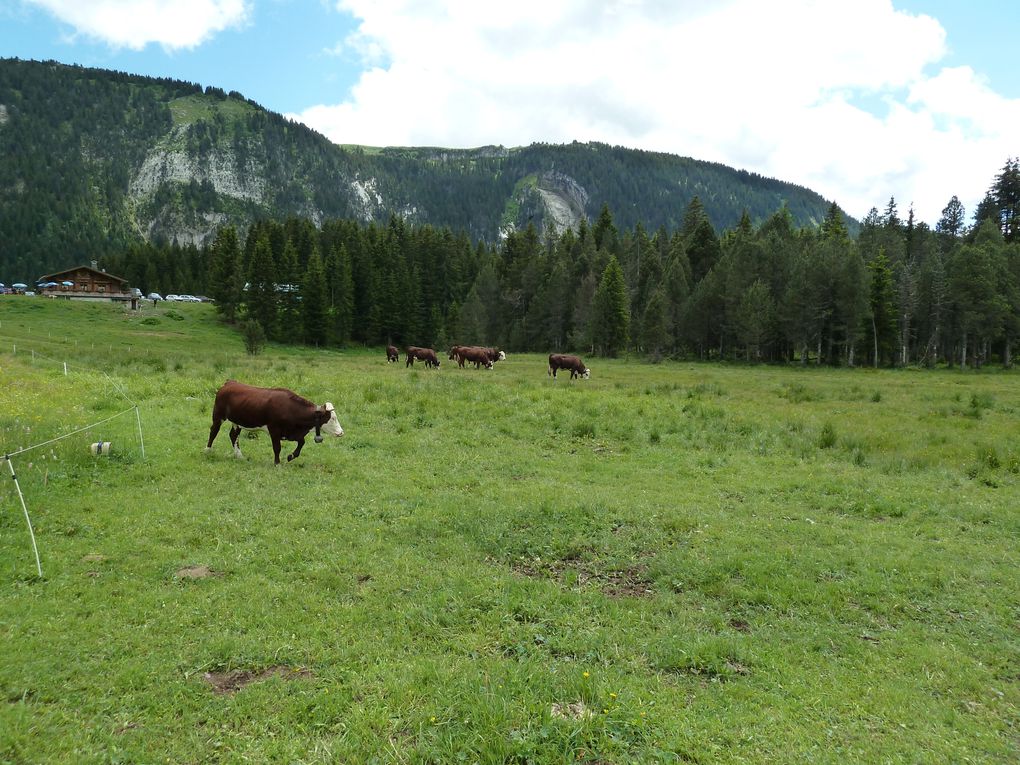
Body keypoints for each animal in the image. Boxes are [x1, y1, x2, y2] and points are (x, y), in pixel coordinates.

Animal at [205, 381, 344, 465]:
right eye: (332, 418)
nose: (341, 432)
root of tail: (229, 382)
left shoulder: (292, 432)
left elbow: (301, 443)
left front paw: (290, 456)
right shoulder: (274, 430)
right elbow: (277, 448)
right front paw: (277, 463)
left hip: (237, 422)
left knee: (233, 436)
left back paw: (239, 456)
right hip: (218, 416)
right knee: (213, 431)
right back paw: (208, 450)